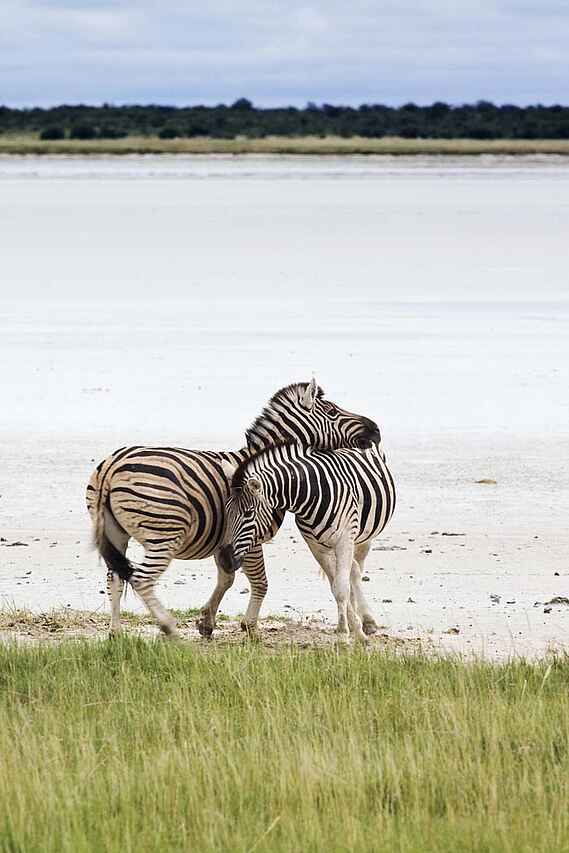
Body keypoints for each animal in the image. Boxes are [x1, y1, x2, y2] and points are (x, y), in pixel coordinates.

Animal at [86, 379, 381, 639]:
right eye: (331, 411)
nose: (376, 429)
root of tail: (111, 467)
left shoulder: (227, 542)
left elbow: (226, 579)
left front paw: (207, 622)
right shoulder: (252, 535)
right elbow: (260, 582)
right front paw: (249, 628)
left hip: (116, 534)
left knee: (115, 578)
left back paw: (116, 633)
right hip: (164, 535)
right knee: (141, 579)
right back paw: (168, 627)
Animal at [219, 439, 396, 643]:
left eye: (248, 514)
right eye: (226, 511)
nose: (225, 560)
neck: (311, 494)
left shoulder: (344, 539)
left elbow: (341, 588)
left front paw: (345, 636)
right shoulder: (316, 546)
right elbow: (336, 586)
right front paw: (350, 629)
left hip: (362, 537)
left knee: (357, 570)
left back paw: (367, 620)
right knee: (352, 570)